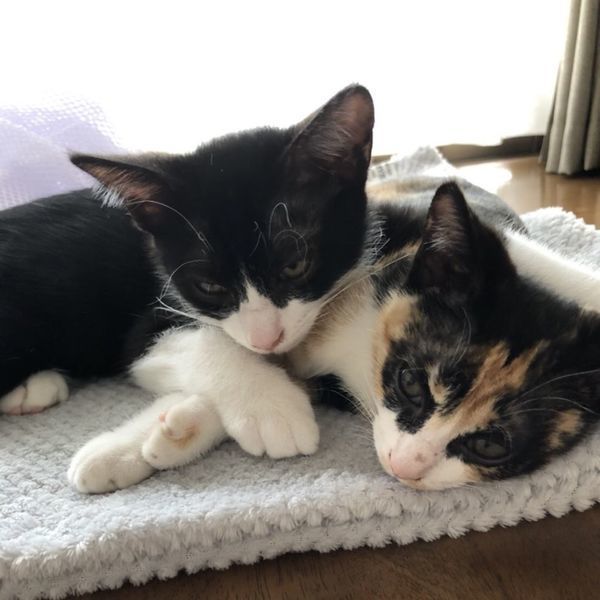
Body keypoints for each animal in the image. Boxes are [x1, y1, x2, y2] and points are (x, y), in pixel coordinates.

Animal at [0, 85, 375, 429]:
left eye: (295, 265)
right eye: (209, 286)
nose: (265, 341)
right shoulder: (146, 324)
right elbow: (184, 343)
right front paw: (273, 409)